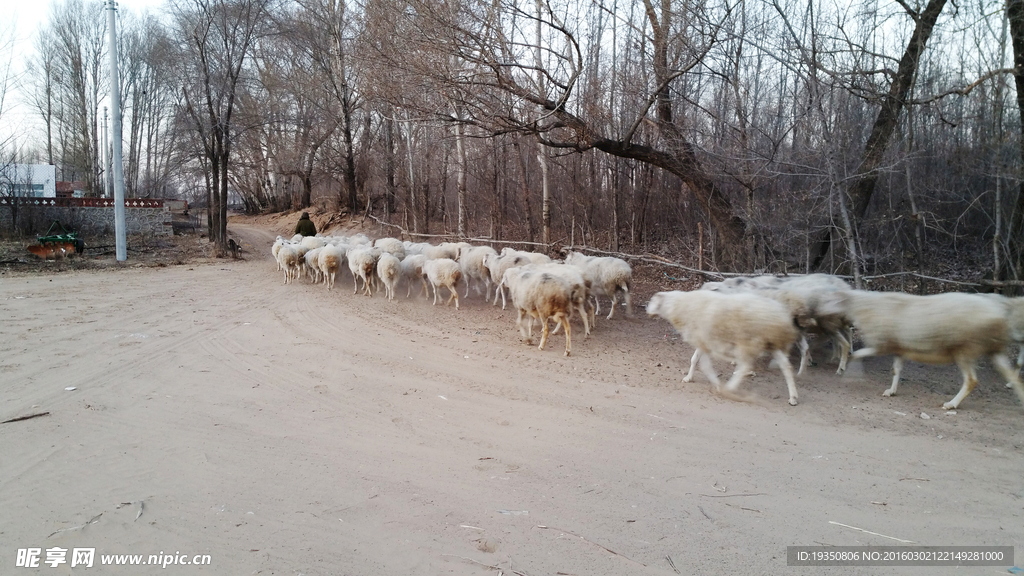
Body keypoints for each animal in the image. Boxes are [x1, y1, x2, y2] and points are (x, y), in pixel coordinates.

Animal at [647, 289, 798, 405]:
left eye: (653, 301)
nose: (646, 311)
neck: (680, 306)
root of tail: (782, 316)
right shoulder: (701, 341)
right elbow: (694, 359)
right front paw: (688, 378)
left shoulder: (703, 341)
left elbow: (705, 366)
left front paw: (716, 384)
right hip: (772, 343)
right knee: (786, 366)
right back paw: (793, 397)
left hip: (748, 342)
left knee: (745, 367)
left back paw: (729, 388)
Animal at [819, 291, 1024, 407]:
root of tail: (1000, 316)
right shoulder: (899, 348)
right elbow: (895, 369)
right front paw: (891, 391)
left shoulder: (882, 345)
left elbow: (859, 354)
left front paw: (846, 368)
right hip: (994, 351)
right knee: (1014, 377)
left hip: (964, 350)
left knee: (971, 380)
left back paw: (951, 404)